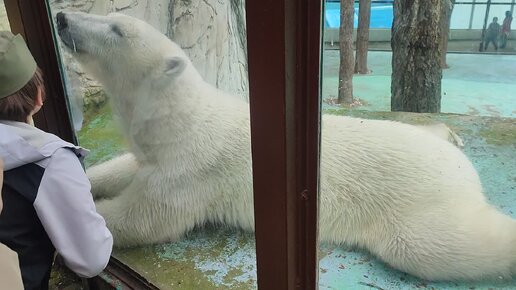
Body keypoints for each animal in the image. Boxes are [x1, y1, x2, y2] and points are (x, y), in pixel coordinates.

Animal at [56, 11, 516, 280]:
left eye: (116, 29)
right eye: (107, 15)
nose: (61, 16)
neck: (179, 120)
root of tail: (463, 171)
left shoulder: (191, 169)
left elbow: (145, 217)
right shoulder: (160, 155)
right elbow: (125, 167)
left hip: (417, 205)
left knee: (435, 245)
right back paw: (447, 133)